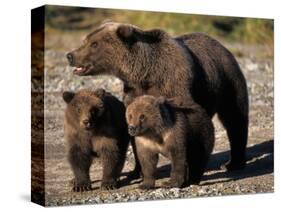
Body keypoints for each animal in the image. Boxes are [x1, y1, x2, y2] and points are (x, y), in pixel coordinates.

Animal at [65, 21, 247, 171]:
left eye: (94, 44)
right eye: (85, 40)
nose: (70, 55)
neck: (146, 73)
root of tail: (221, 45)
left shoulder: (174, 85)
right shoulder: (133, 93)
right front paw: (137, 170)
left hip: (227, 79)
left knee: (235, 117)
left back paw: (232, 163)